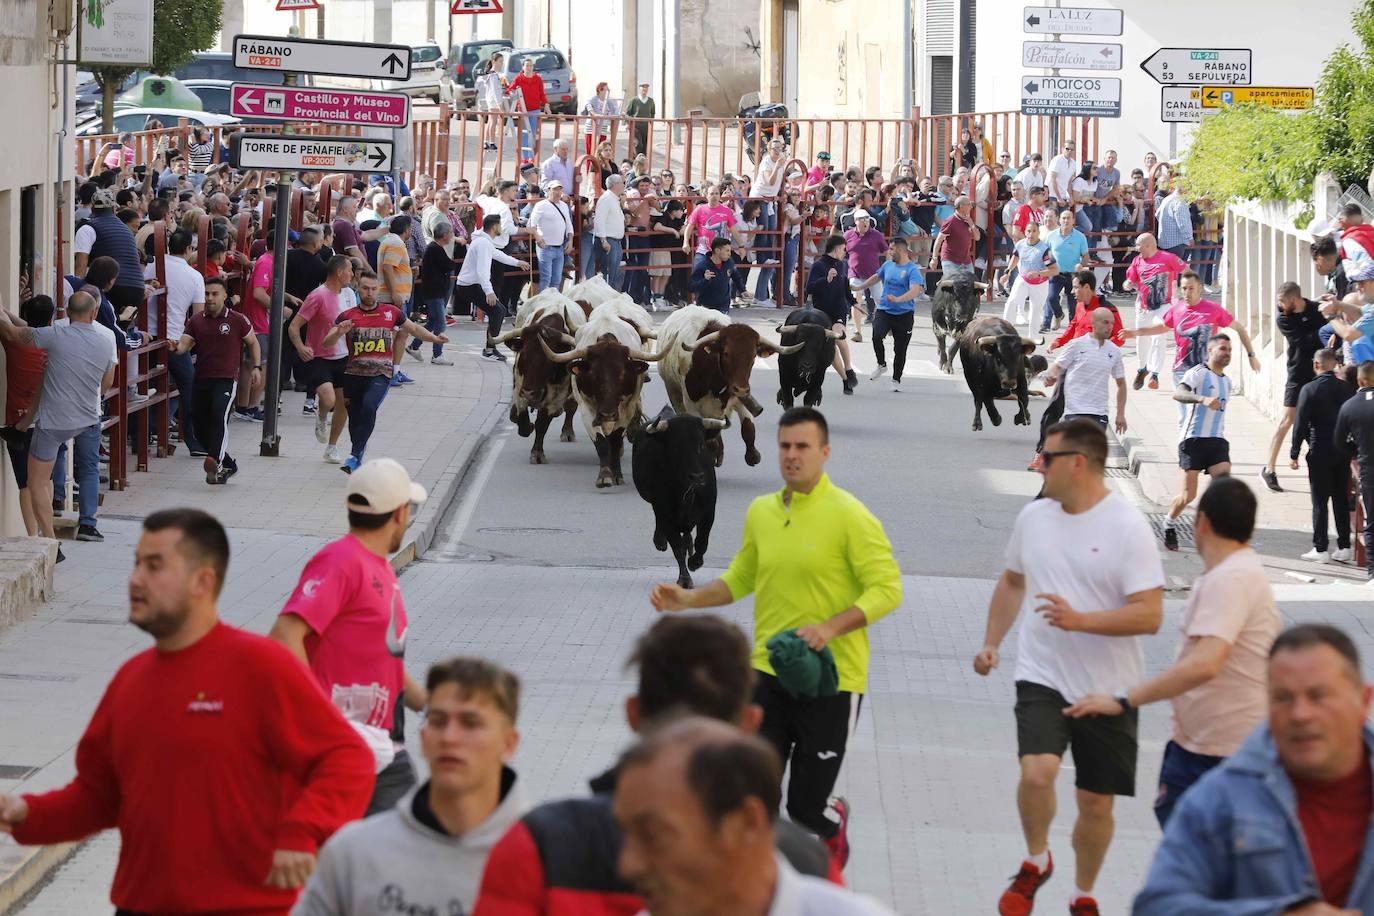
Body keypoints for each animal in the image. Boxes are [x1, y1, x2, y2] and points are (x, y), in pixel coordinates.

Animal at [489, 292, 585, 466]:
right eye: (523, 359)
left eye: (549, 362)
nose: (529, 393)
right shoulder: (519, 384)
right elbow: (521, 415)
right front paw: (524, 424)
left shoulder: (556, 396)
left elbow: (542, 423)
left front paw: (537, 453)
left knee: (570, 407)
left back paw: (567, 431)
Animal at [538, 313, 662, 486]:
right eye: (593, 375)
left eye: (622, 375)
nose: (607, 414)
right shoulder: (586, 409)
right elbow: (601, 442)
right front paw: (604, 475)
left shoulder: (627, 409)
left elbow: (615, 441)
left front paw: (617, 475)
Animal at [629, 406, 725, 587]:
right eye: (676, 448)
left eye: (701, 445)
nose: (697, 477)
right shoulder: (665, 515)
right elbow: (677, 548)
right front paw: (685, 579)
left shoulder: (709, 512)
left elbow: (702, 541)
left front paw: (695, 562)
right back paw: (660, 541)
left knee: (688, 535)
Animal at [656, 306, 802, 466]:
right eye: (726, 353)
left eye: (753, 356)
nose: (741, 389)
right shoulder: (692, 406)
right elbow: (708, 439)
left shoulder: (739, 395)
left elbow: (748, 428)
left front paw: (752, 455)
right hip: (673, 390)